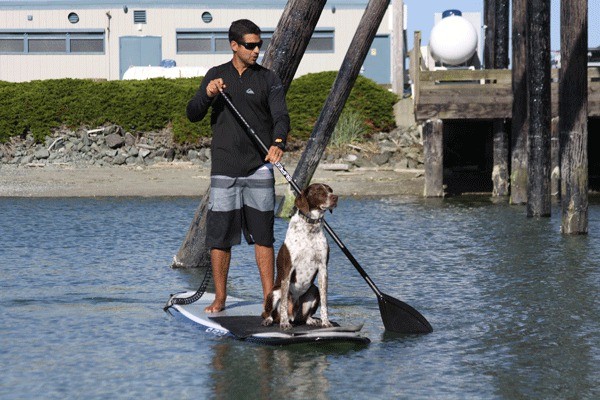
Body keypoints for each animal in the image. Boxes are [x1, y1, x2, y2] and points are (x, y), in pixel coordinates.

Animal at [262, 183, 338, 330]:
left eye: (330, 190)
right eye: (318, 191)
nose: (335, 197)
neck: (311, 226)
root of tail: (293, 314)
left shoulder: (323, 269)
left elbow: (325, 302)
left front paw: (326, 322)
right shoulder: (288, 269)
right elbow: (284, 303)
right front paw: (284, 323)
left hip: (314, 290)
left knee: (304, 316)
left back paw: (311, 320)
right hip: (274, 292)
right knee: (269, 313)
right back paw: (271, 320)